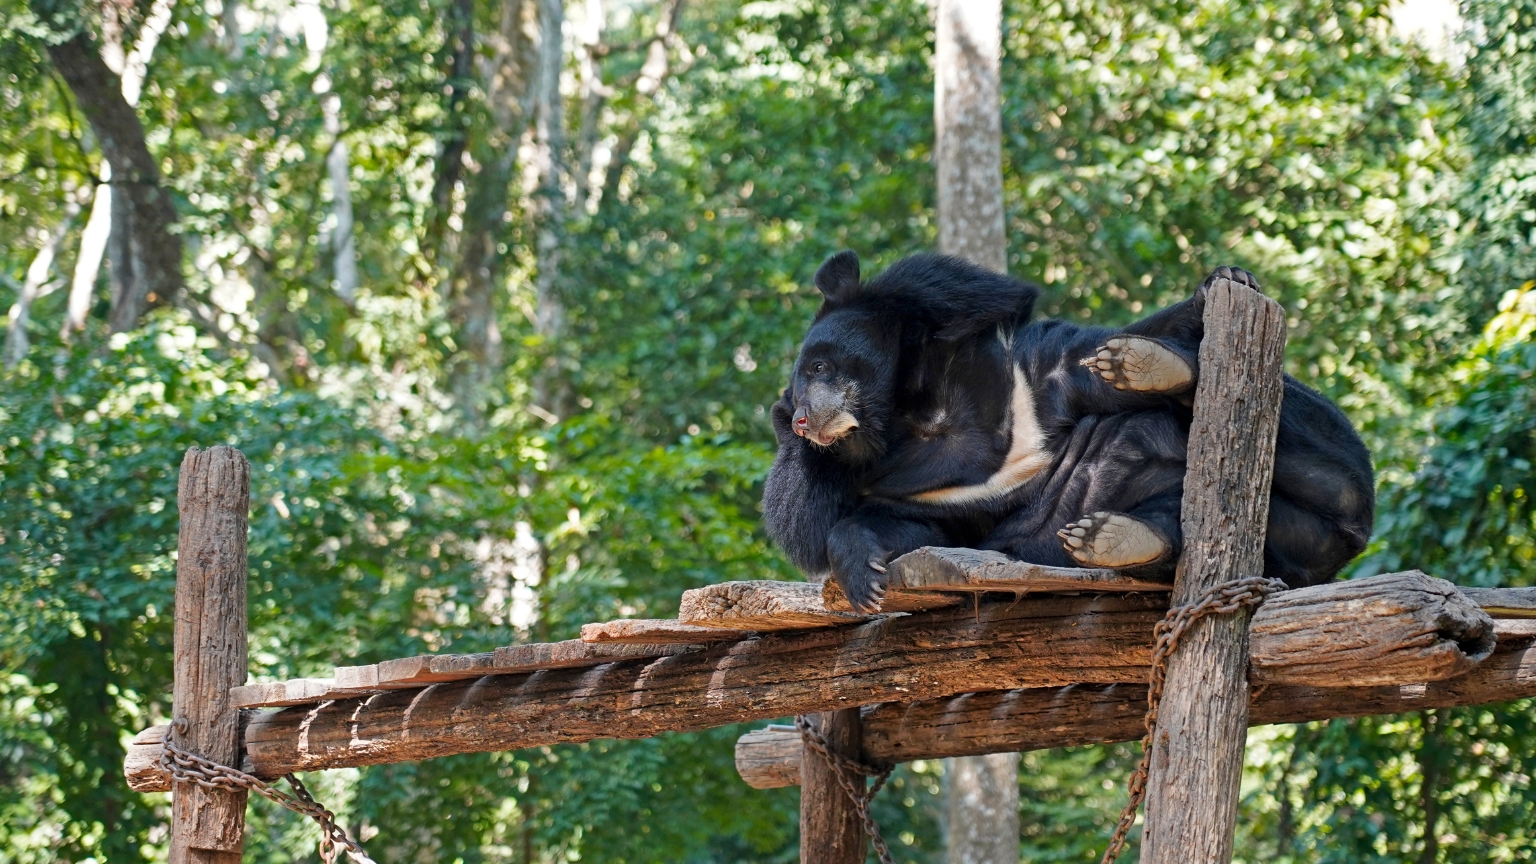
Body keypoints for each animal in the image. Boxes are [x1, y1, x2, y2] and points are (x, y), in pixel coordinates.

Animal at [762, 251, 1375, 612]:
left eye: (819, 365)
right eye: (799, 385)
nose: (800, 417)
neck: (911, 410)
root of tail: (1352, 540)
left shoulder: (1022, 371)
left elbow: (1094, 354)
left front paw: (1220, 282)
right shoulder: (915, 491)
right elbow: (898, 526)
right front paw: (864, 580)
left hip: (1327, 446)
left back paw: (1159, 367)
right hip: (1284, 539)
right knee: (1167, 521)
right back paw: (1115, 538)